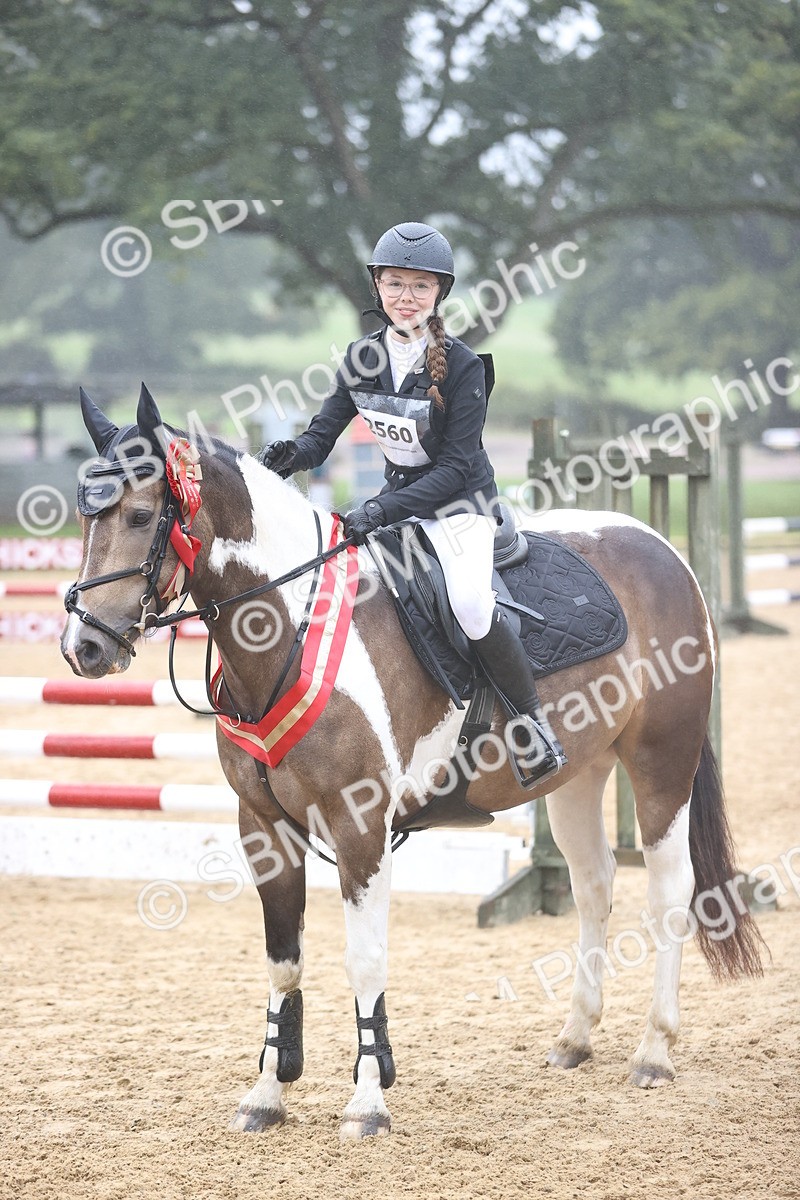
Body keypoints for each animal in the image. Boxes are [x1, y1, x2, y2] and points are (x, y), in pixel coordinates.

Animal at [60, 385, 764, 1141]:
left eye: (139, 515)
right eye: (85, 515)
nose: (84, 647)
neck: (292, 624)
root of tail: (661, 548)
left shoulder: (360, 825)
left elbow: (364, 959)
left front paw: (369, 1100)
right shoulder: (264, 827)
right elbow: (284, 962)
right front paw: (267, 1093)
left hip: (661, 760)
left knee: (670, 892)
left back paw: (655, 1051)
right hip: (580, 774)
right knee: (594, 886)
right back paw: (576, 1038)